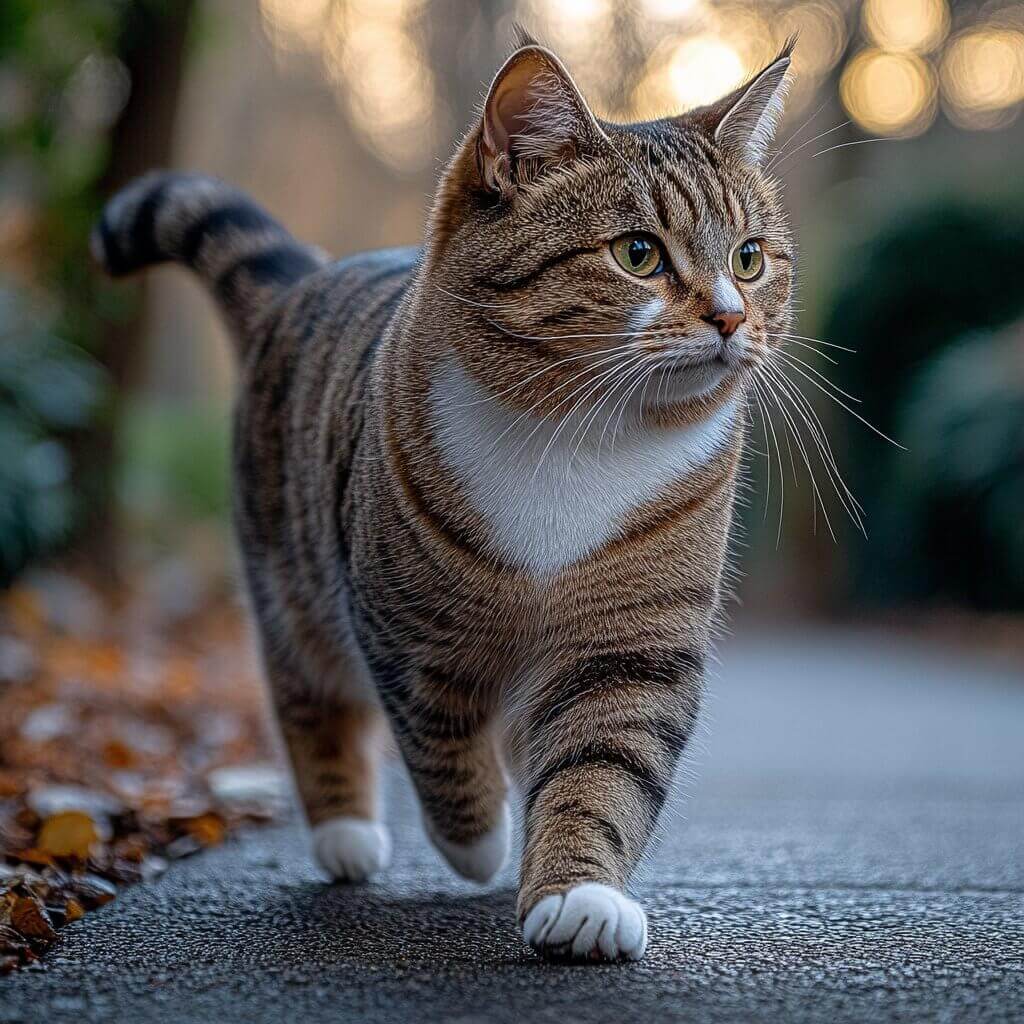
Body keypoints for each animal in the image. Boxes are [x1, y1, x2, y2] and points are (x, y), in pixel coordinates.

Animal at [94, 32, 798, 958]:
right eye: (638, 253)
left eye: (749, 258)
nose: (729, 318)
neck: (581, 437)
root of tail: (304, 281)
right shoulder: (405, 630)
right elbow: (438, 746)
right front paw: (480, 840)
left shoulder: (634, 641)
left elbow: (604, 769)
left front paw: (578, 895)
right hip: (290, 576)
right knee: (309, 690)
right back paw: (346, 832)